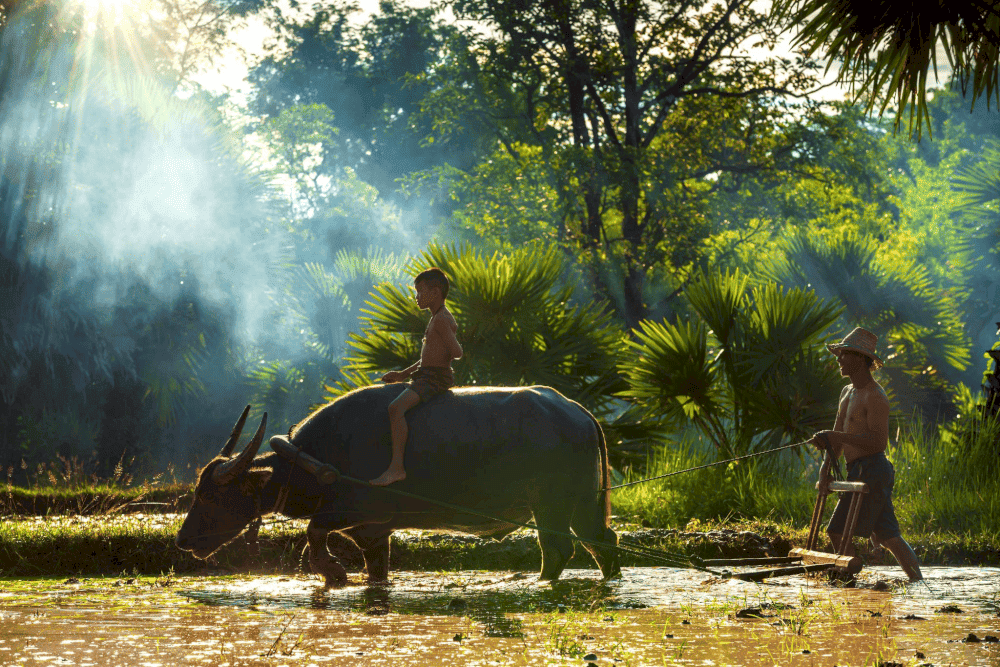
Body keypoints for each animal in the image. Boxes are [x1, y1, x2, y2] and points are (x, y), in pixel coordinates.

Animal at [175, 384, 620, 586]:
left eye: (211, 495)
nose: (182, 540)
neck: (318, 460)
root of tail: (579, 412)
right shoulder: (373, 533)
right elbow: (375, 568)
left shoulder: (356, 512)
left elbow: (313, 532)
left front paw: (333, 572)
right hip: (583, 503)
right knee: (603, 540)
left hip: (552, 505)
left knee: (559, 548)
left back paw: (540, 583)